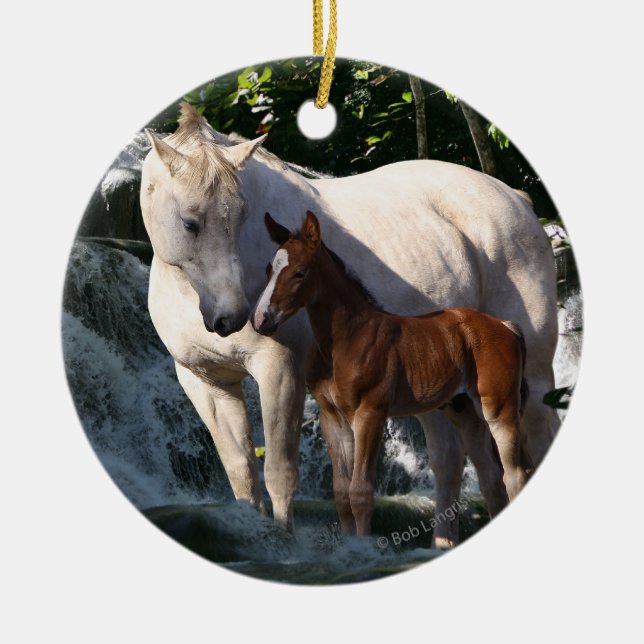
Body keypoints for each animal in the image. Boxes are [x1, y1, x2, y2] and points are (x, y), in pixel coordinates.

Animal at [253, 211, 530, 535]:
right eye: (268, 269)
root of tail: (506, 326)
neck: (345, 340)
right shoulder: (332, 417)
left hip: (499, 408)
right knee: (492, 481)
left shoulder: (370, 413)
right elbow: (341, 494)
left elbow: (360, 492)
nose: (261, 319)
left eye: (299, 273)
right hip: (465, 412)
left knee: (514, 475)